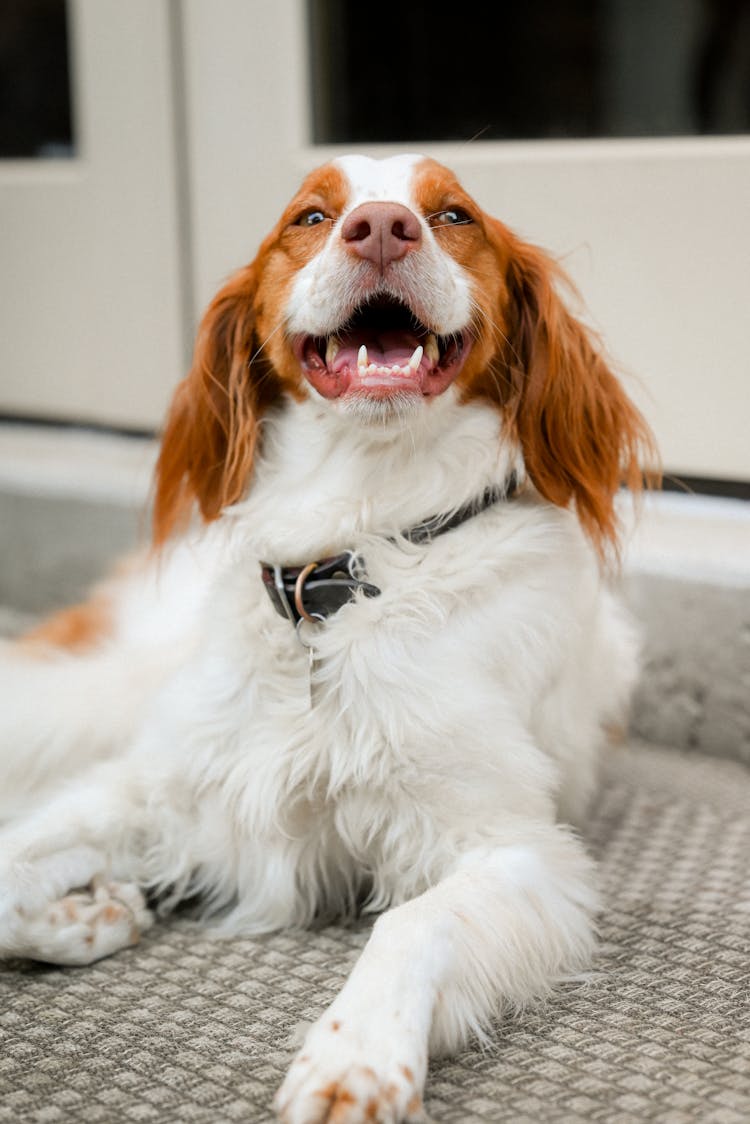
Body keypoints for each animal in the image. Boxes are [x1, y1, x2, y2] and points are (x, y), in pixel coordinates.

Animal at [0, 156, 652, 1124]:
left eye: (453, 215)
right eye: (309, 216)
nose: (381, 227)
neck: (342, 569)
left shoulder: (518, 849)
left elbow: (413, 921)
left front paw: (358, 1059)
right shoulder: (154, 780)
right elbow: (10, 866)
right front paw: (88, 912)